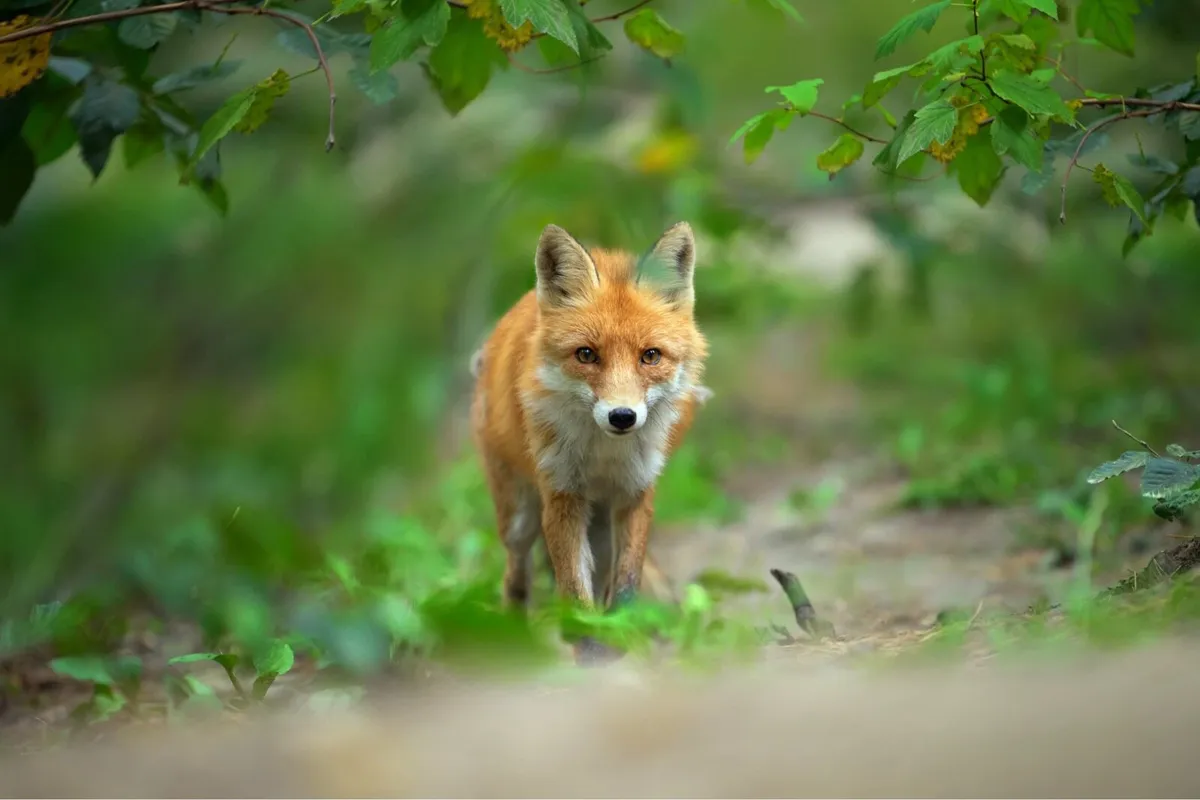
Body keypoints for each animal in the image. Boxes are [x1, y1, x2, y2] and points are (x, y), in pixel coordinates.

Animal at [469, 221, 709, 664]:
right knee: (517, 575)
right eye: (586, 355)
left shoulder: (635, 492)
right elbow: (575, 593)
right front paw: (589, 650)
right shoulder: (562, 496)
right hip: (519, 517)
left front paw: (620, 639)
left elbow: (626, 582)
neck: (604, 456)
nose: (622, 416)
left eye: (650, 356)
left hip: (596, 522)